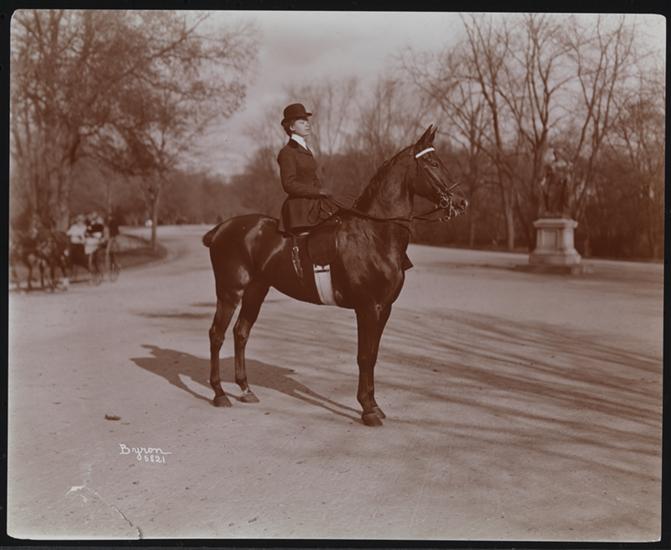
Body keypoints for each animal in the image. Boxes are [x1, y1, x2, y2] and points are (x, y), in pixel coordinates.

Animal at [202, 125, 468, 426]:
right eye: (433, 163)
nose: (461, 201)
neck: (374, 234)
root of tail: (222, 228)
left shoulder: (384, 308)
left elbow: (373, 354)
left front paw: (373, 405)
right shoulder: (367, 307)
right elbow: (365, 356)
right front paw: (367, 409)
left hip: (256, 290)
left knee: (241, 333)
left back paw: (245, 389)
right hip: (230, 290)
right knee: (217, 334)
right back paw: (219, 393)